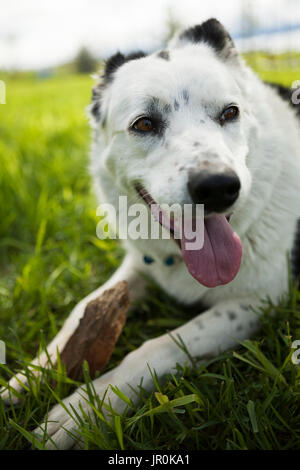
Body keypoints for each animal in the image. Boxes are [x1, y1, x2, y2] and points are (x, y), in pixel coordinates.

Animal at [2, 19, 300, 452]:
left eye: (230, 112)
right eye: (144, 123)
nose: (219, 187)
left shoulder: (259, 300)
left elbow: (159, 345)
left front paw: (85, 409)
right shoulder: (139, 266)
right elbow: (80, 311)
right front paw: (31, 375)